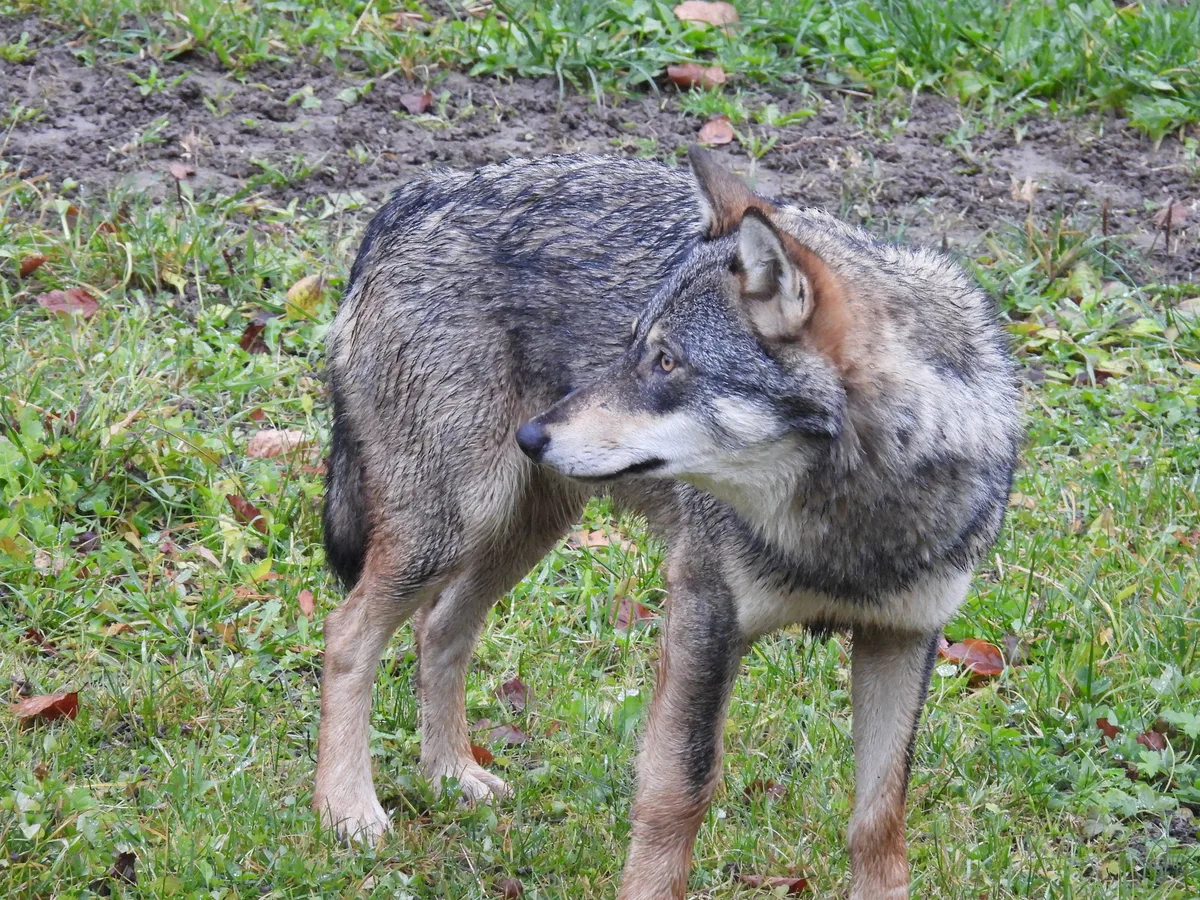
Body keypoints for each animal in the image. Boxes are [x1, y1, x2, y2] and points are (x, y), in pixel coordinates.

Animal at [313, 148, 1021, 899]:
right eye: (635, 349)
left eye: (666, 361)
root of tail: (417, 194)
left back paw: (449, 774)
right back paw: (347, 808)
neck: (847, 526)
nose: (531, 434)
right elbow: (679, 790)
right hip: (454, 526)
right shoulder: (703, 618)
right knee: (347, 634)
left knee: (439, 629)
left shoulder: (903, 638)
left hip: (519, 531)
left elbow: (880, 817)